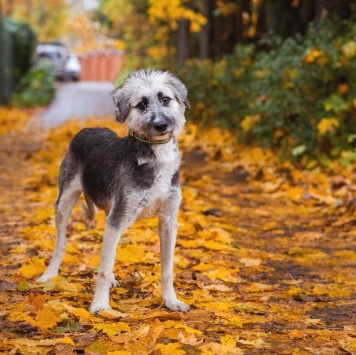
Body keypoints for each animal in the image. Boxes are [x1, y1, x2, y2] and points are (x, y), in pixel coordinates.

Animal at [37, 70, 191, 314]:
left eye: (165, 99)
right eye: (141, 104)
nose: (161, 125)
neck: (155, 154)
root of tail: (88, 128)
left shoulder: (168, 220)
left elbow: (167, 269)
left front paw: (171, 301)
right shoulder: (119, 217)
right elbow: (102, 268)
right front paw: (100, 304)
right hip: (65, 202)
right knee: (61, 243)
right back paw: (50, 275)